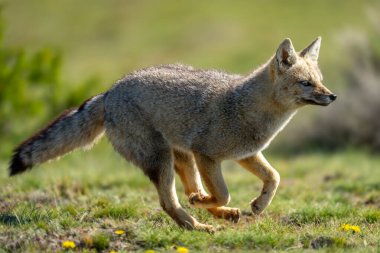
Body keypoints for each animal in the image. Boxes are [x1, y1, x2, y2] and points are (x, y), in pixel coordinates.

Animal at [8, 37, 336, 231]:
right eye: (306, 83)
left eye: (320, 80)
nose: (332, 96)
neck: (247, 107)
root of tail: (110, 92)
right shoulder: (207, 154)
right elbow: (223, 191)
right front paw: (213, 204)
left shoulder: (246, 154)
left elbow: (274, 177)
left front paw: (258, 204)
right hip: (163, 159)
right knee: (171, 202)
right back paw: (196, 224)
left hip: (181, 157)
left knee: (190, 190)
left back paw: (219, 212)